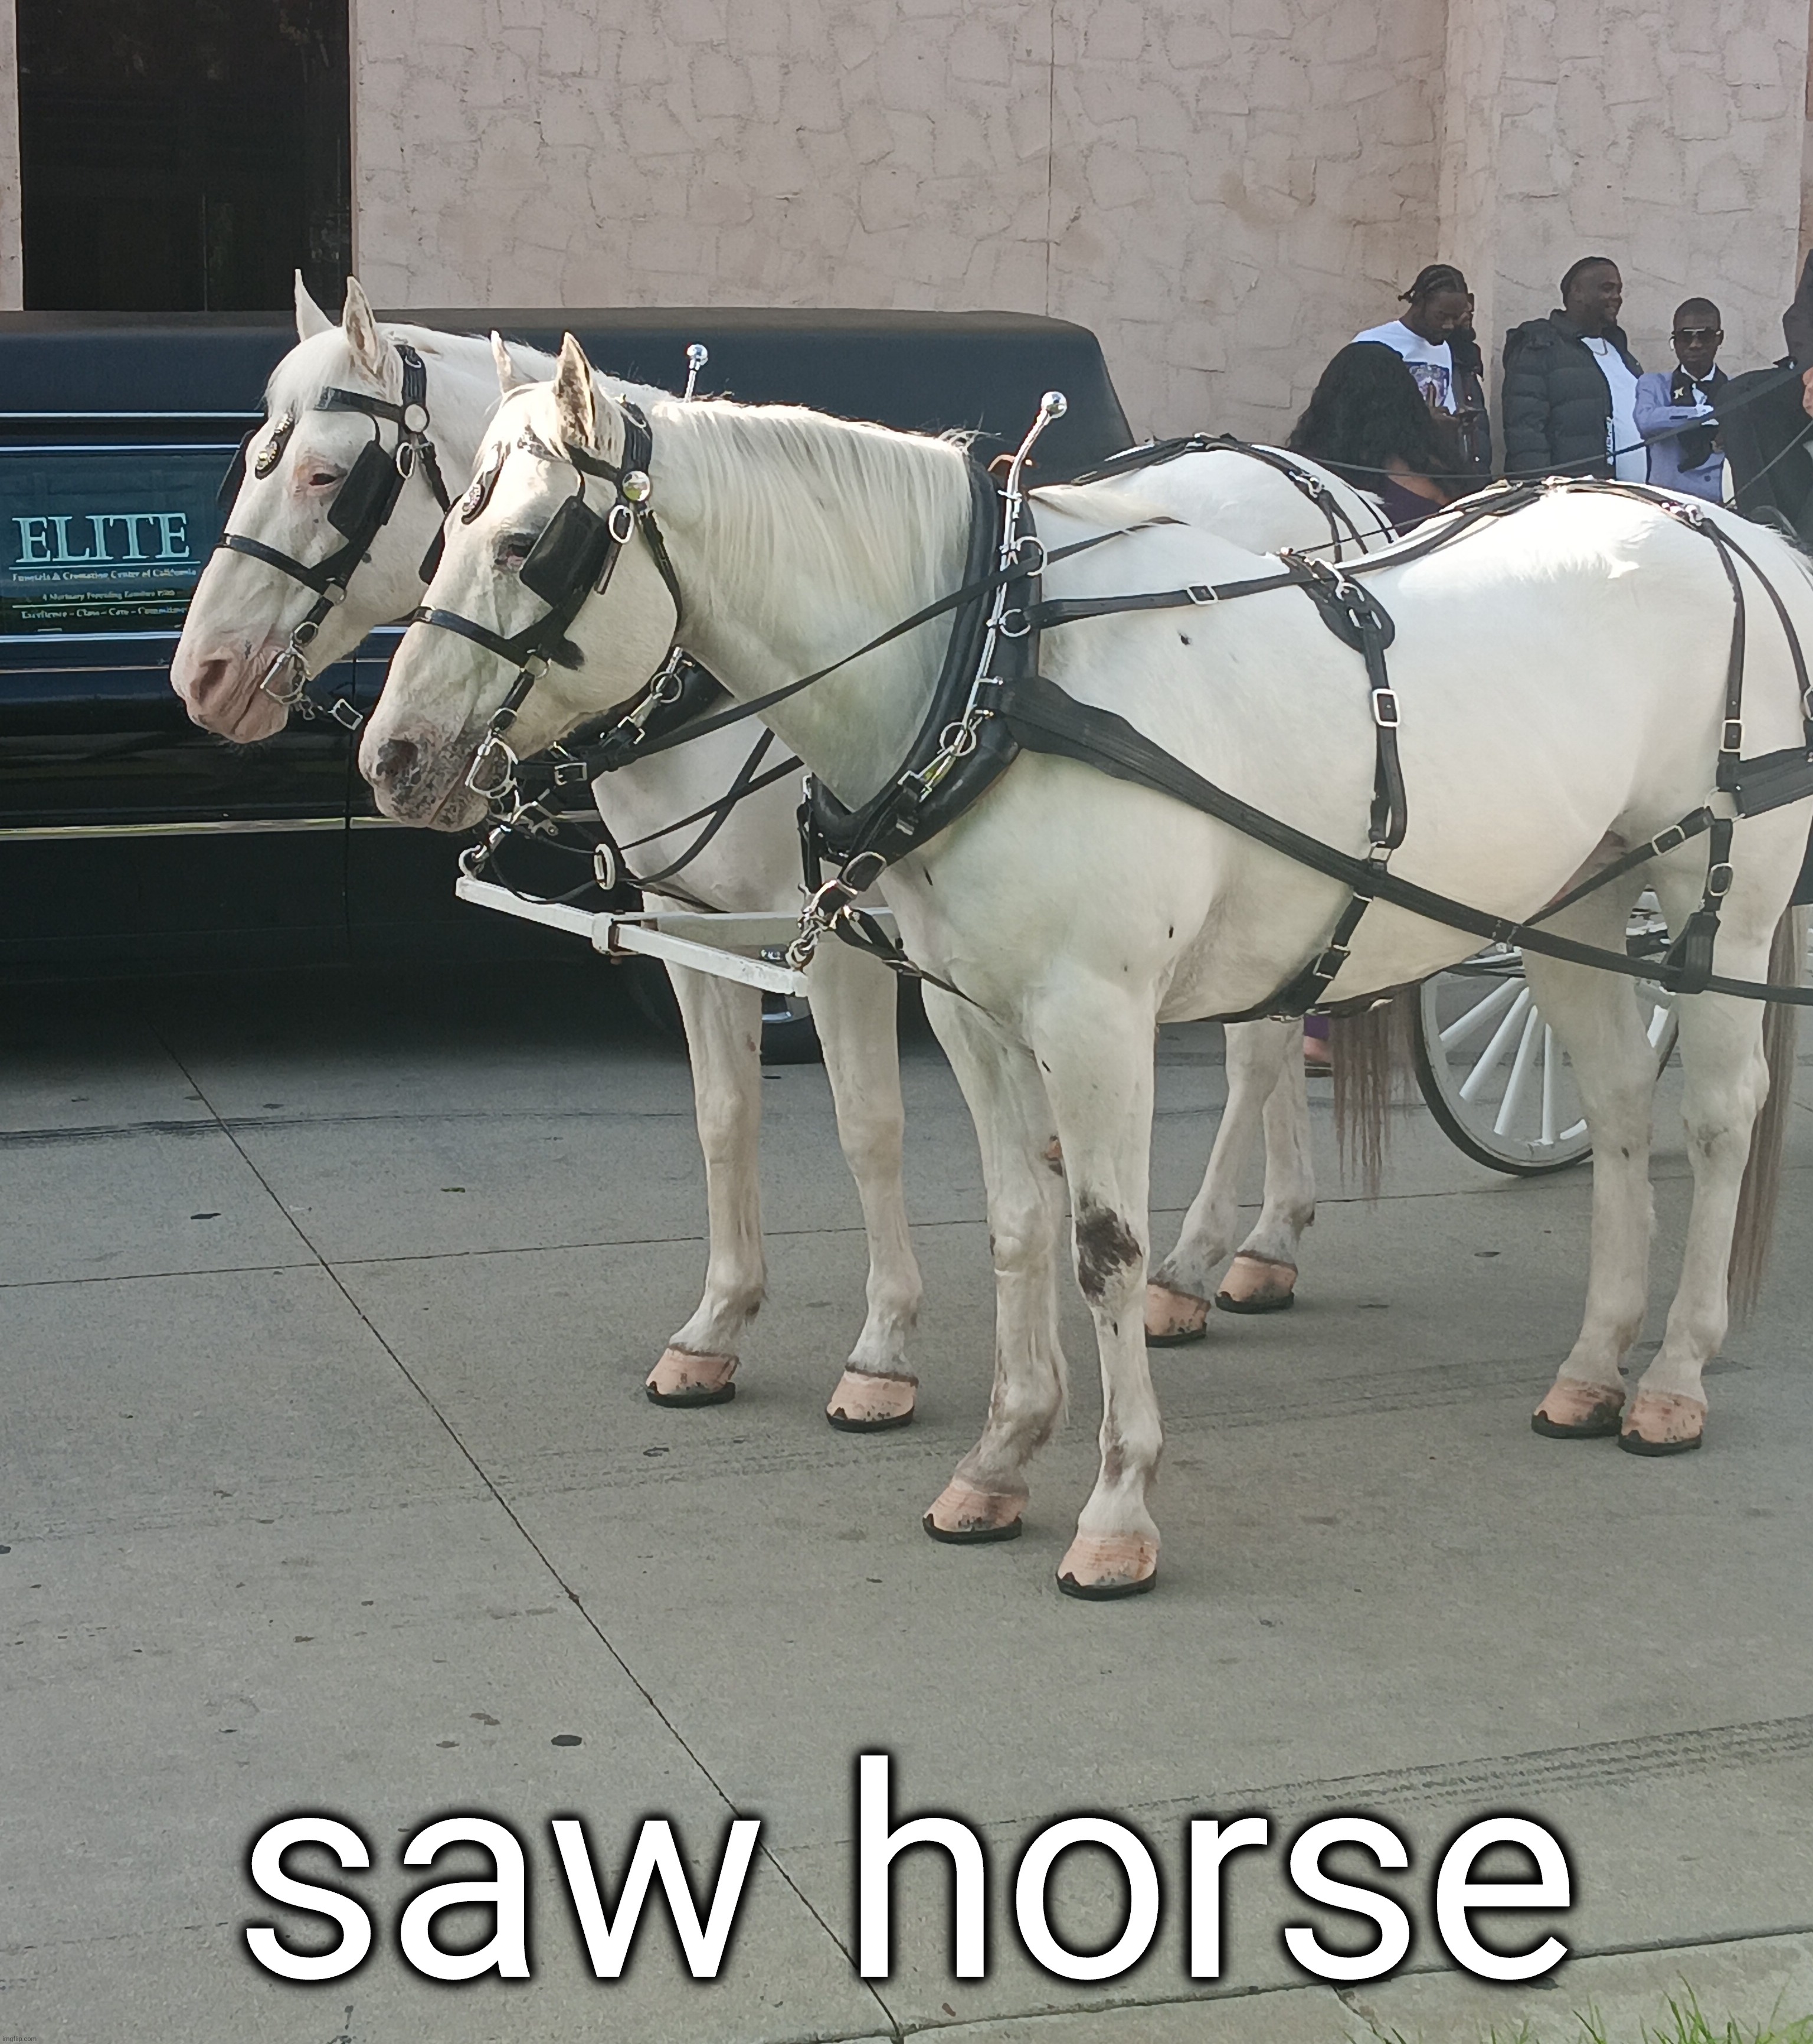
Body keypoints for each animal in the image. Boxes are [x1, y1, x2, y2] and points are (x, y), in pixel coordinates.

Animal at [171, 280, 1399, 1422]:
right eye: (248, 462)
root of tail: (1321, 481)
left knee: (1254, 1050)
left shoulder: (843, 934)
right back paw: (1266, 1241)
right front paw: (716, 1323)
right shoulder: (686, 921)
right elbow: (724, 1115)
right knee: (1275, 1021)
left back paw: (1195, 1258)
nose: (204, 676)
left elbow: (868, 1126)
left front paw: (885, 1345)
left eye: (328, 476)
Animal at [361, 335, 1809, 1598]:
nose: (391, 756)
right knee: (1614, 1108)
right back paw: (1594, 1360)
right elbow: (1017, 1221)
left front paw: (1116, 1506)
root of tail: (1736, 535)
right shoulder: (975, 1015)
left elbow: (1104, 1245)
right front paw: (1000, 1457)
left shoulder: (1096, 1018)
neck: (997, 670)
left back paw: (1673, 1371)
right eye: (442, 527)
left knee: (1715, 1118)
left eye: (529, 545)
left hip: (1720, 907)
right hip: (1581, 890)